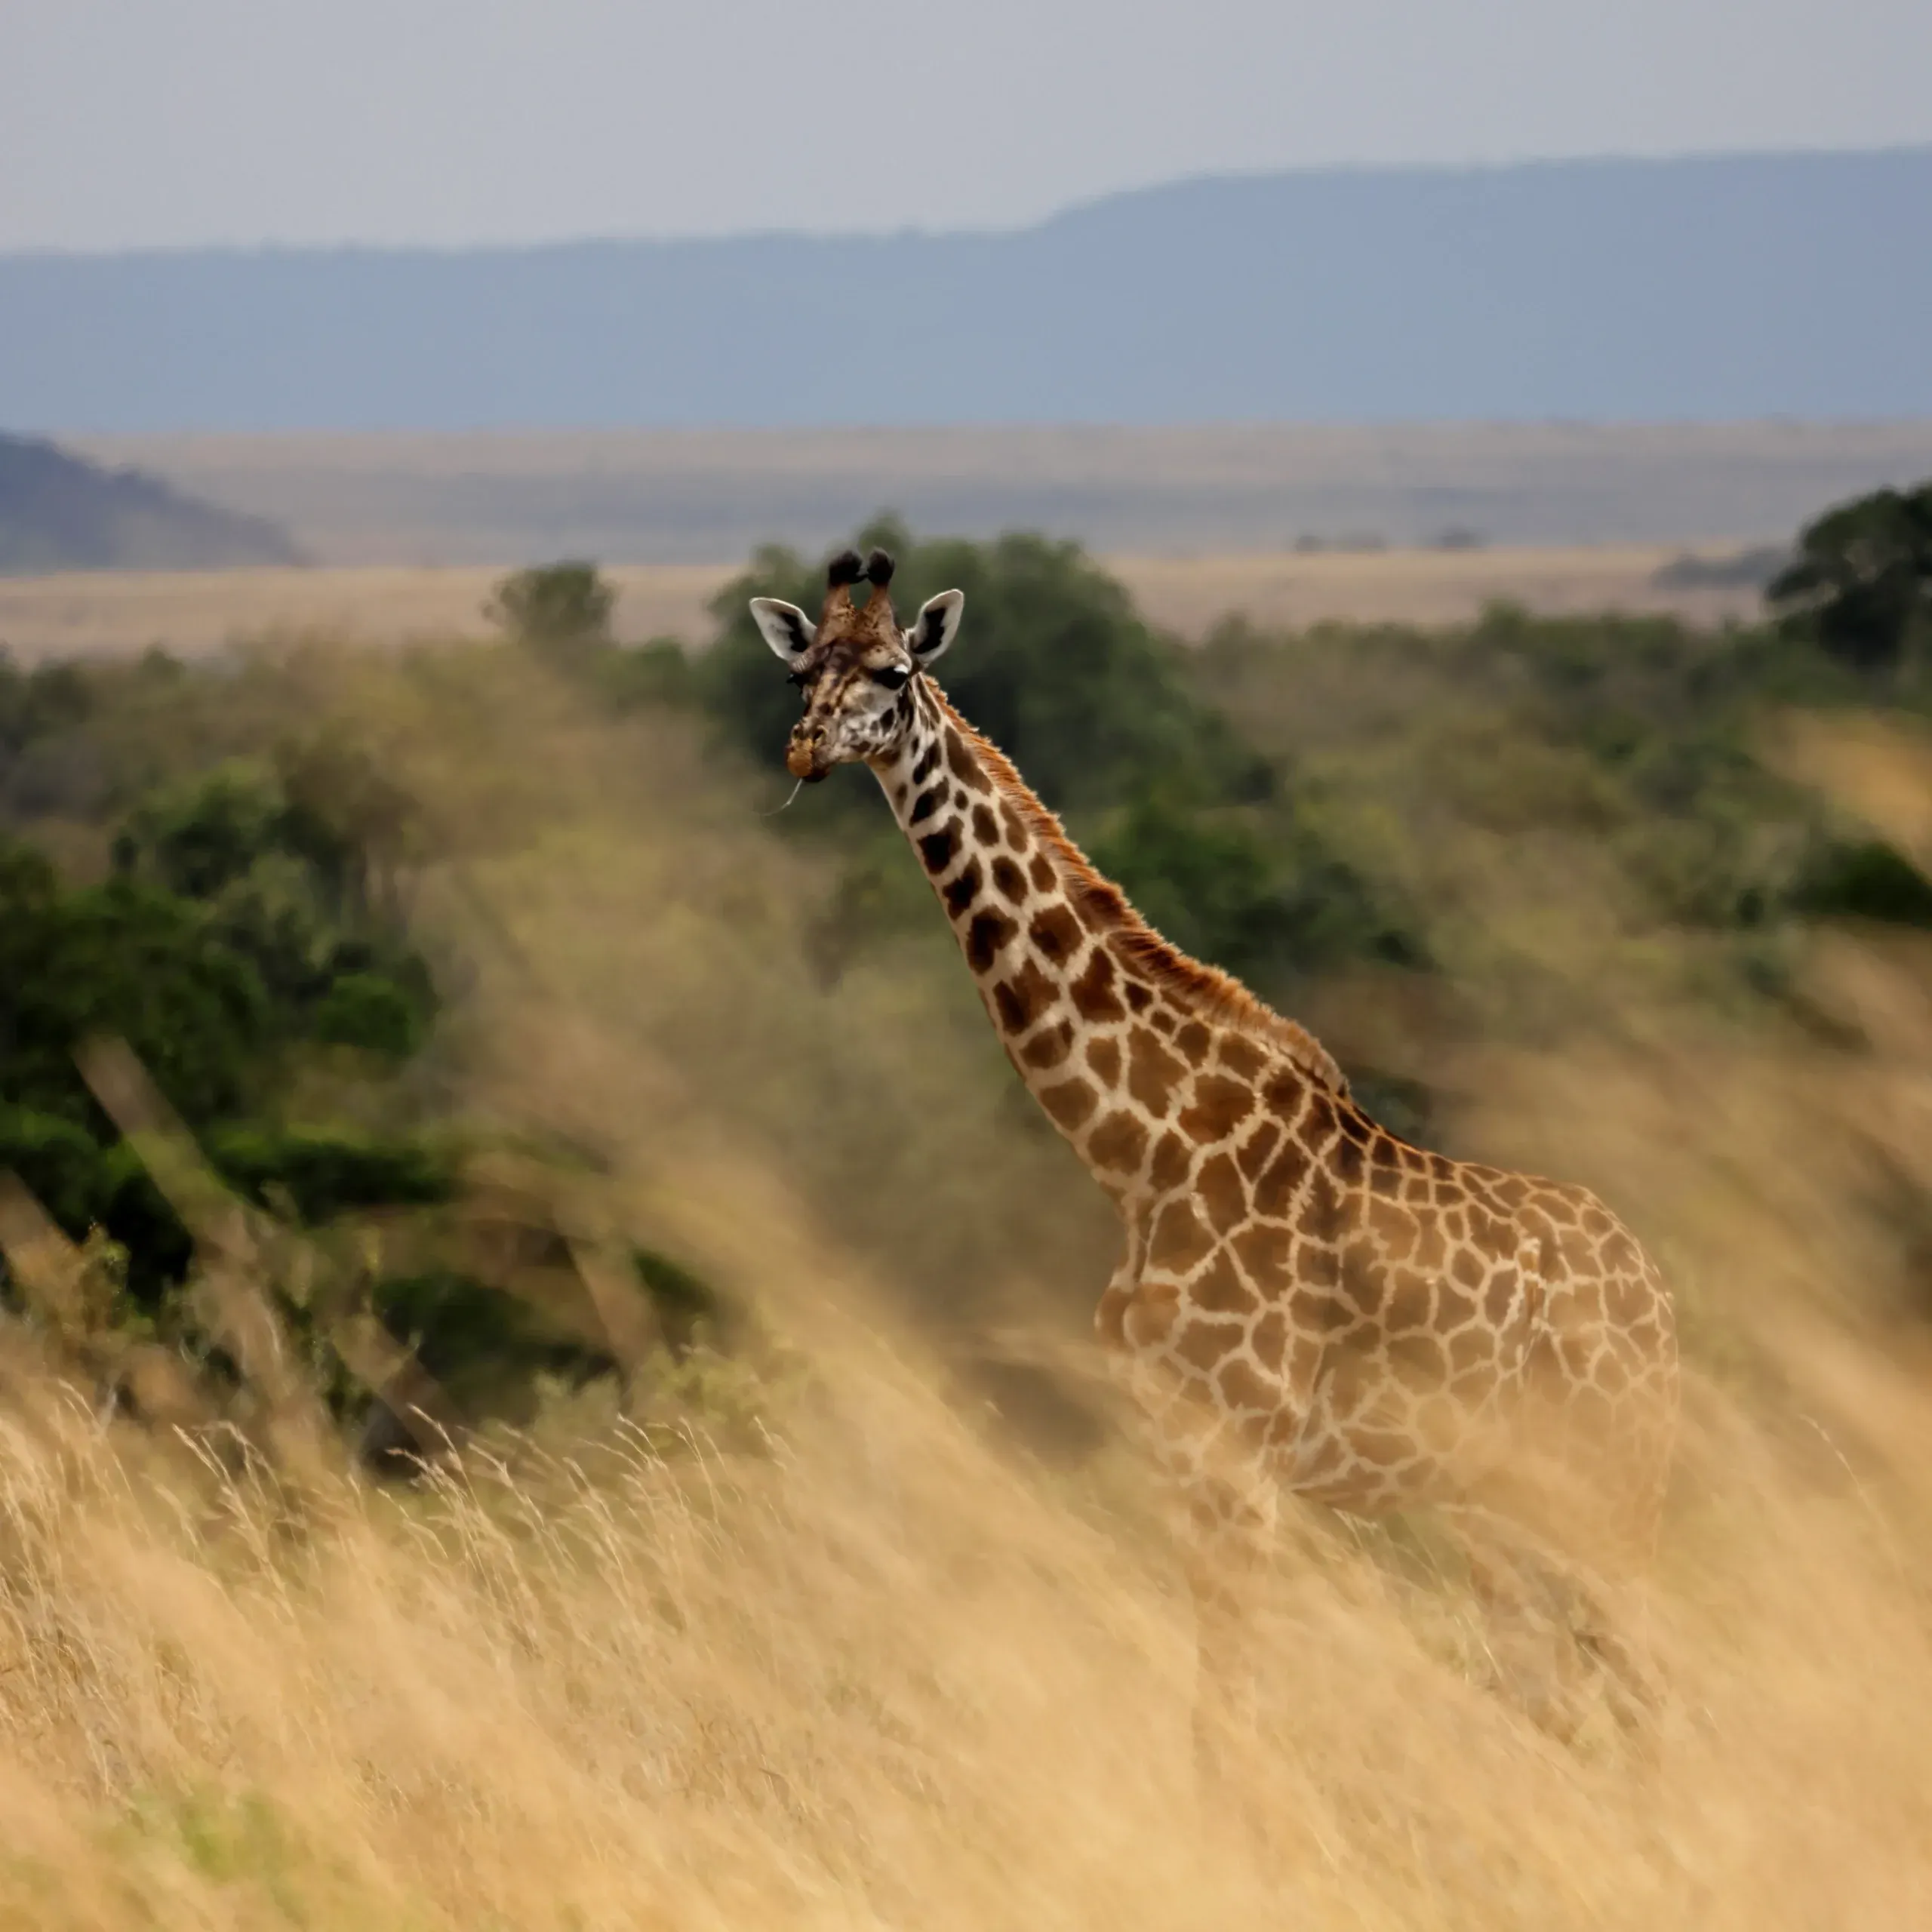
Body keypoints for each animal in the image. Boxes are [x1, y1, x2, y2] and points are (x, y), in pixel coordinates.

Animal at [751, 546, 1680, 1758]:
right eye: (799, 669)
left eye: (897, 671)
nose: (809, 748)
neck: (1141, 1155)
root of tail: (1657, 1293)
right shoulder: (1176, 1446)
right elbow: (1215, 1699)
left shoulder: (1243, 1450)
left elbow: (1233, 1709)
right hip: (1499, 1501)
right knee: (1560, 1693)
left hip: (1610, 1478)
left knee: (1648, 1682)